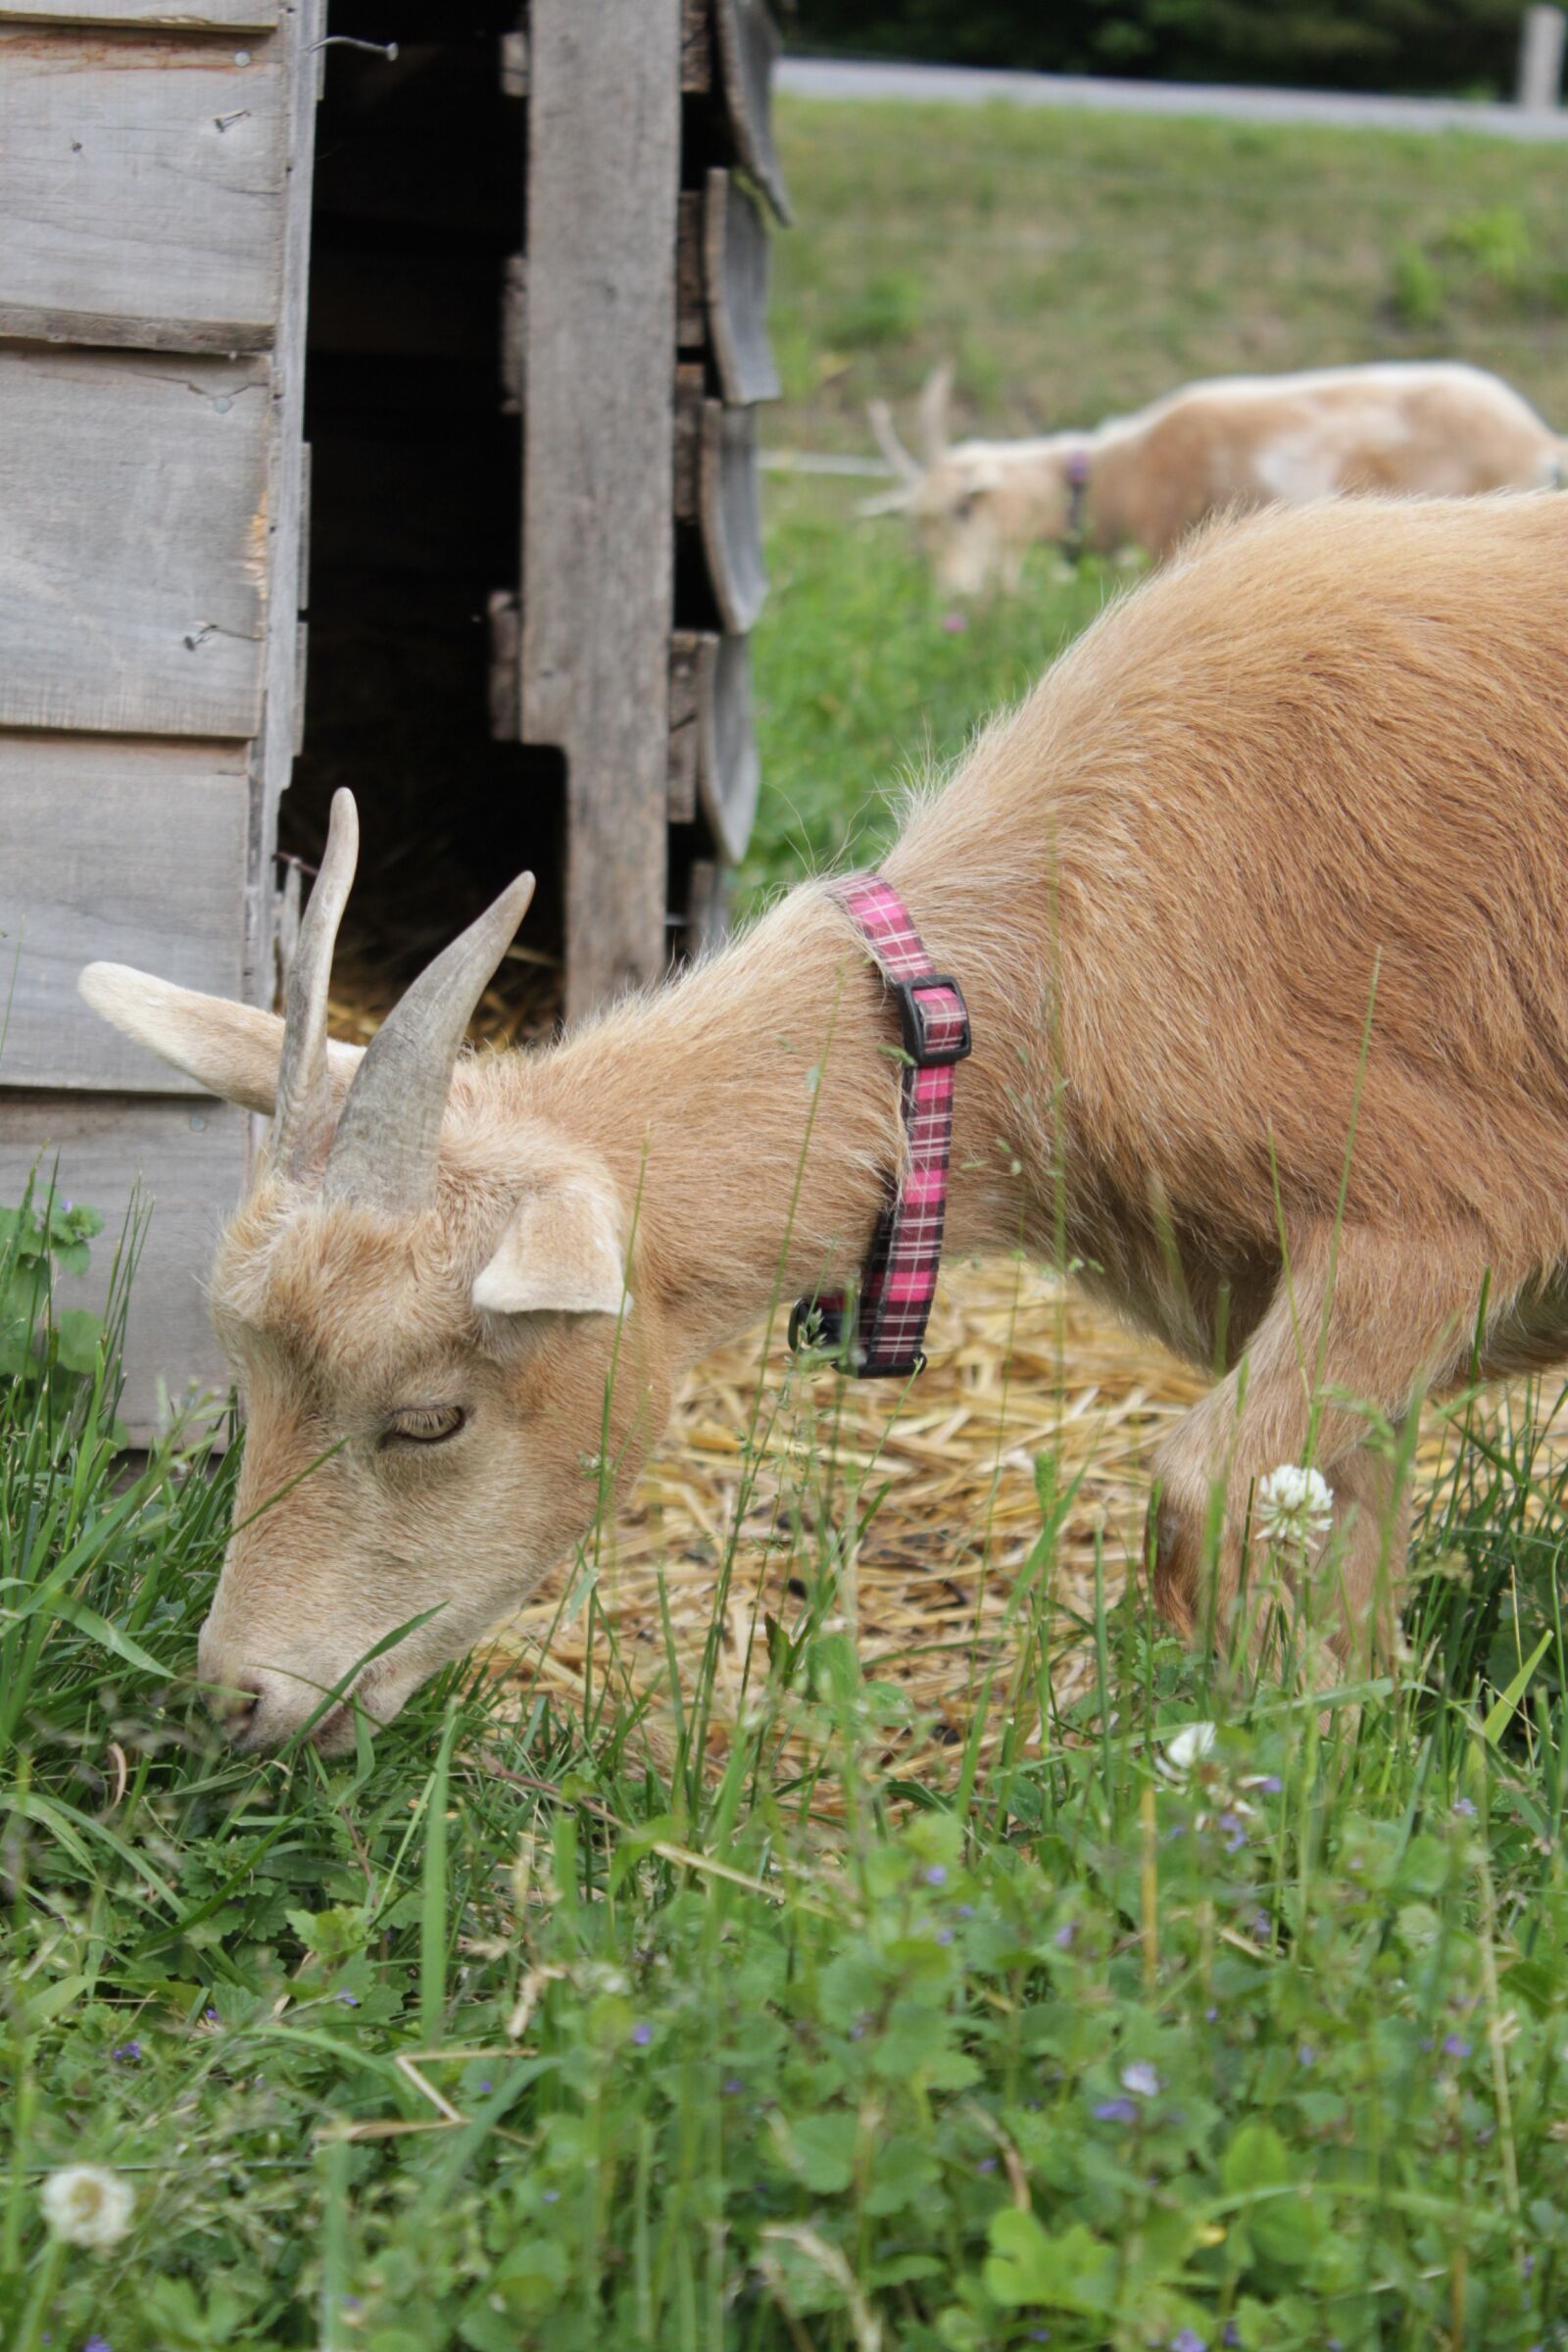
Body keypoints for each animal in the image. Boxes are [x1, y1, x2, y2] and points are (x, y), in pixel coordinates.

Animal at [82, 491, 1568, 1748]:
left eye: (431, 1418)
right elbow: (1347, 1548)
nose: (236, 1701)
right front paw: (1362, 1749)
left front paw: (1310, 1799)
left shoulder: (1430, 1226)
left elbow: (1212, 1491)